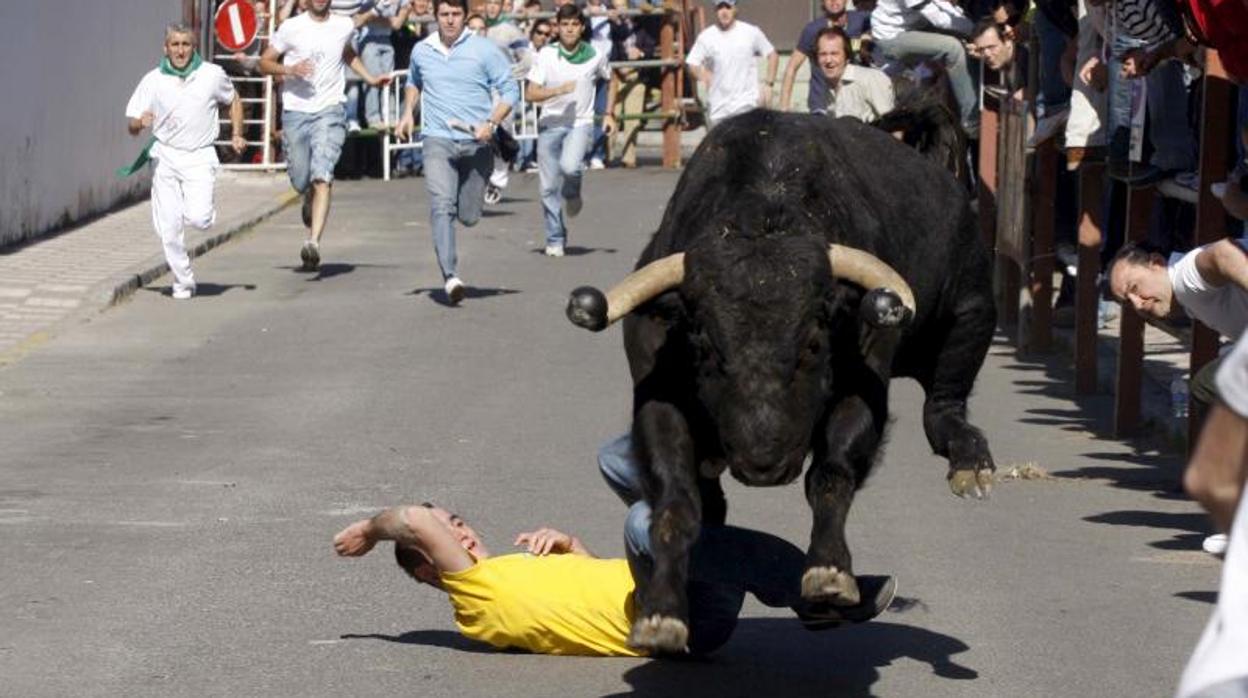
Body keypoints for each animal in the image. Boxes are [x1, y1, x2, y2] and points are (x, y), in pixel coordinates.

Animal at [566, 110, 993, 654]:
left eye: (812, 344)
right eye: (706, 346)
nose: (762, 462)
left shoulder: (865, 384)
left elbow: (831, 475)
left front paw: (829, 574)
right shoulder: (657, 399)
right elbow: (674, 503)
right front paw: (662, 613)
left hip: (972, 311)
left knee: (944, 402)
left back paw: (969, 462)